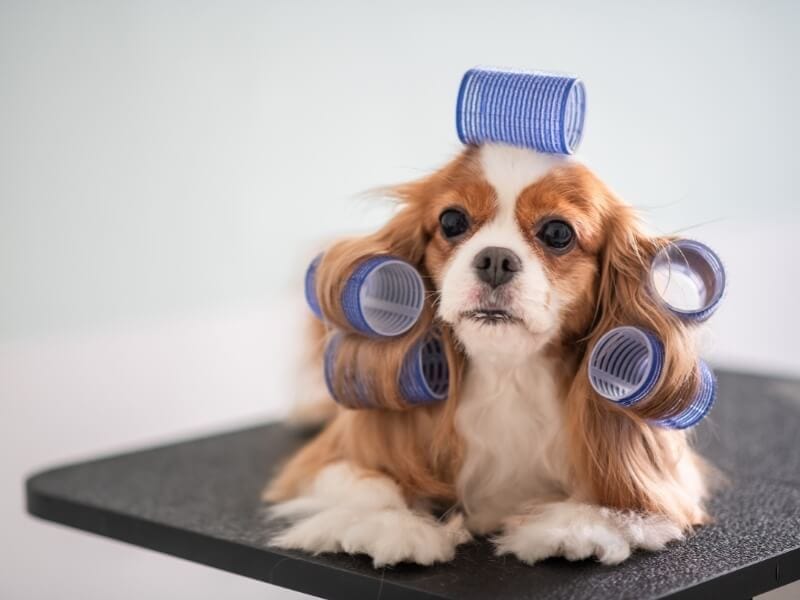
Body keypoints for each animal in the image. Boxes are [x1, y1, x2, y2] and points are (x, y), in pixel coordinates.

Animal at [264, 144, 712, 568]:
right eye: (452, 221)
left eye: (558, 232)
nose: (495, 259)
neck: (507, 375)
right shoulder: (324, 461)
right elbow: (371, 485)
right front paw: (394, 525)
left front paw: (579, 526)